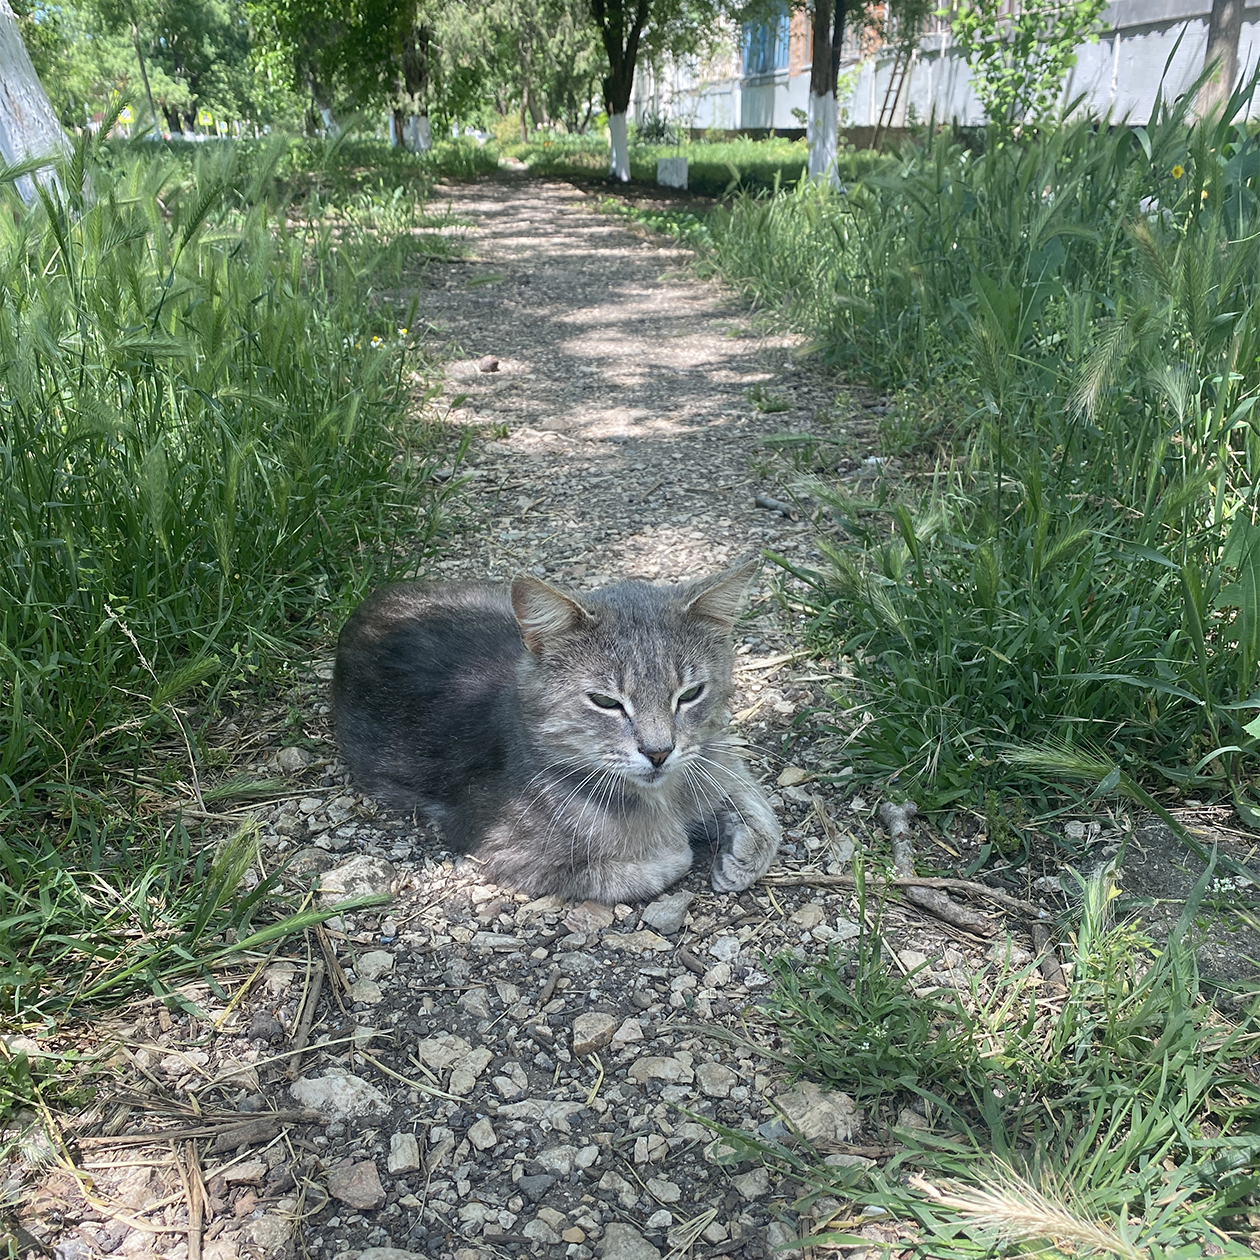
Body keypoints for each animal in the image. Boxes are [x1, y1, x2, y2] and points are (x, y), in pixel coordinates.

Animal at [327, 564, 776, 907]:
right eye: (605, 701)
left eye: (690, 694)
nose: (659, 751)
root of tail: (369, 600)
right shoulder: (505, 852)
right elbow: (653, 865)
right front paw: (679, 844)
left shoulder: (712, 756)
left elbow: (757, 806)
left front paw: (743, 853)